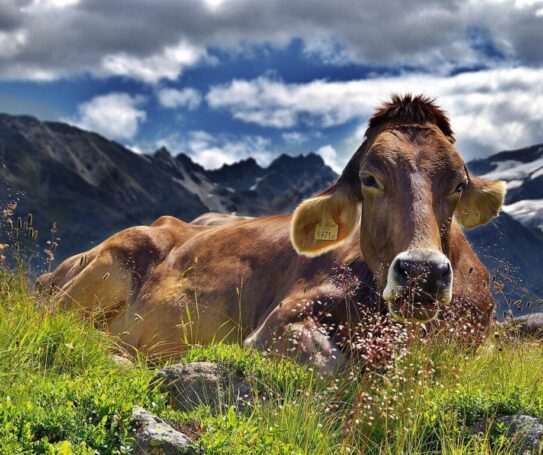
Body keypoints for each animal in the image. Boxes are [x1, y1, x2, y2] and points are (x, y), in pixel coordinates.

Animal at [37, 94, 506, 372]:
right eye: (370, 179)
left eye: (458, 184)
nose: (422, 272)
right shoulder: (278, 324)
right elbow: (331, 365)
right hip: (111, 262)